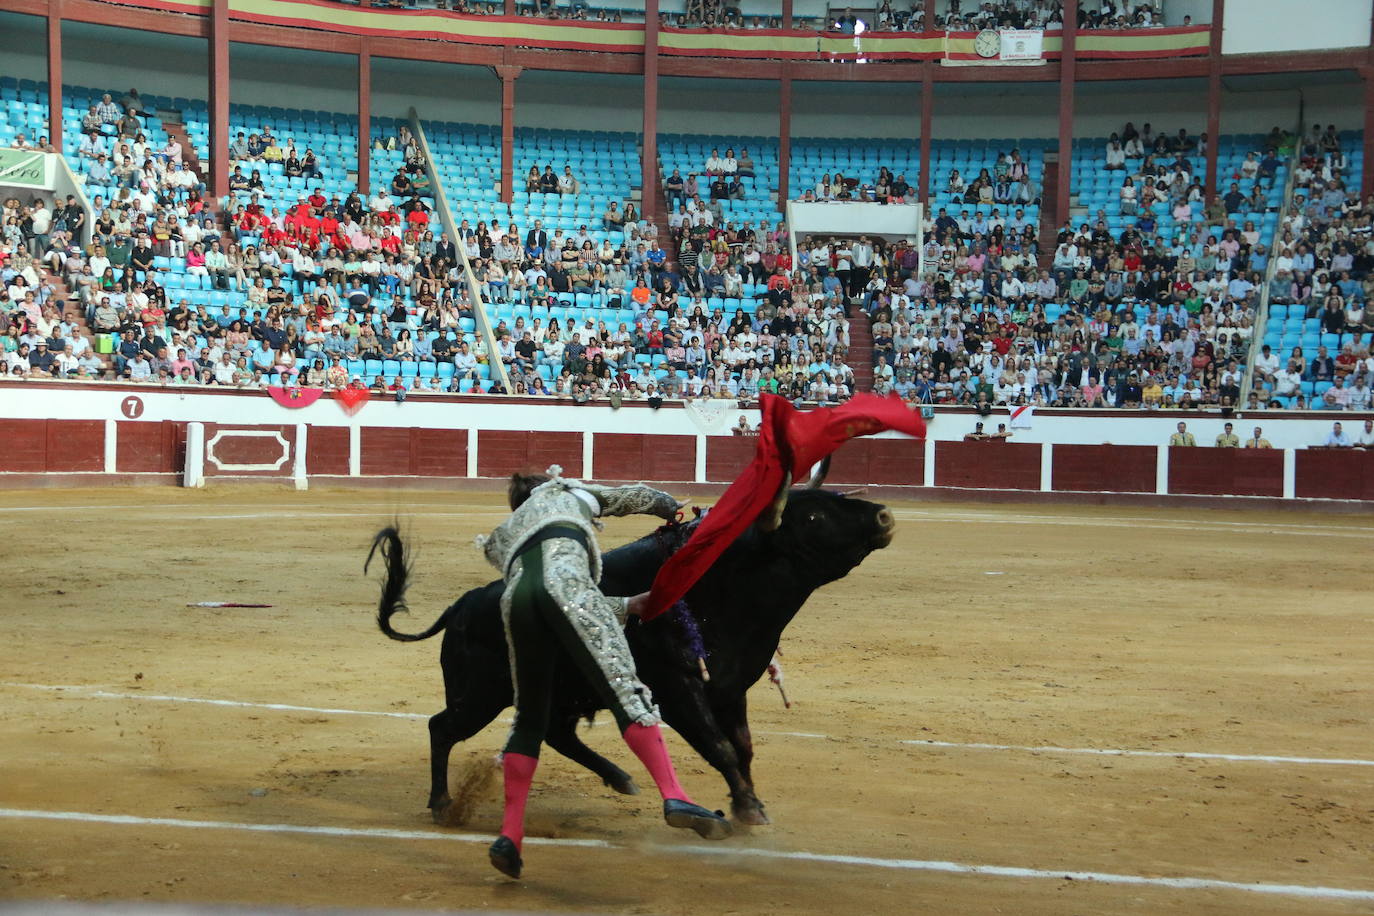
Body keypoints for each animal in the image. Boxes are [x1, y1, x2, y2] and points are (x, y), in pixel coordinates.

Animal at [370, 486, 895, 823]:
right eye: (813, 517)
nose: (884, 516)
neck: (729, 586)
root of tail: (459, 606)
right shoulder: (678, 687)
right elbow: (718, 745)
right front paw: (747, 807)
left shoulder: (730, 688)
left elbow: (742, 747)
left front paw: (746, 799)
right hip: (479, 695)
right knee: (442, 727)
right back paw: (441, 804)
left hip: (552, 691)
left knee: (556, 734)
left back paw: (620, 776)